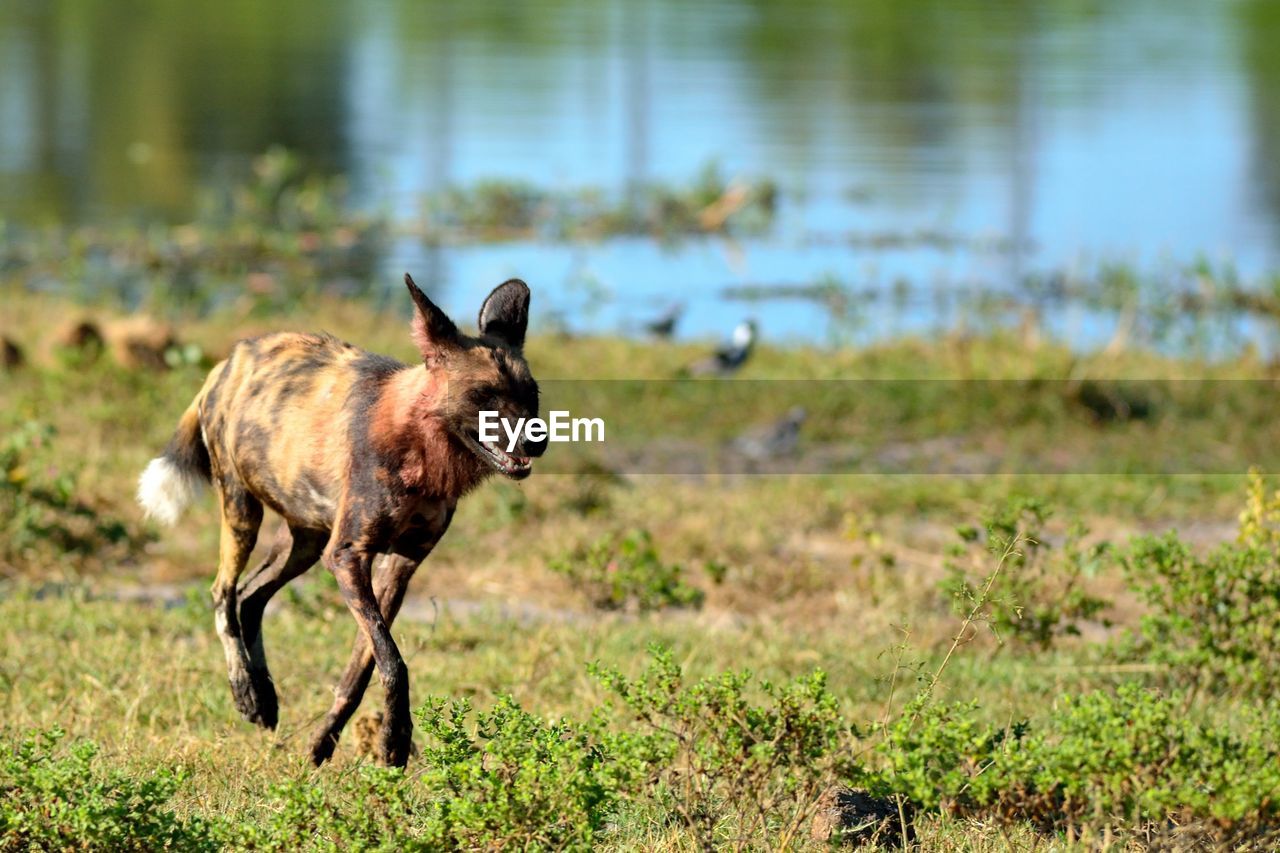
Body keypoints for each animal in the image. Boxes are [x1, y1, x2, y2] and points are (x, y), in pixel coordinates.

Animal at [136, 274, 545, 763]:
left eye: (532, 395)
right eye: (483, 397)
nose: (537, 440)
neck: (418, 448)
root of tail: (229, 361)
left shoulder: (399, 565)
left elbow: (364, 668)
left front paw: (326, 745)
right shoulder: (349, 557)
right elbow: (393, 662)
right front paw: (394, 740)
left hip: (305, 542)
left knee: (251, 598)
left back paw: (266, 698)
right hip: (243, 513)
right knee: (223, 592)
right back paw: (246, 692)